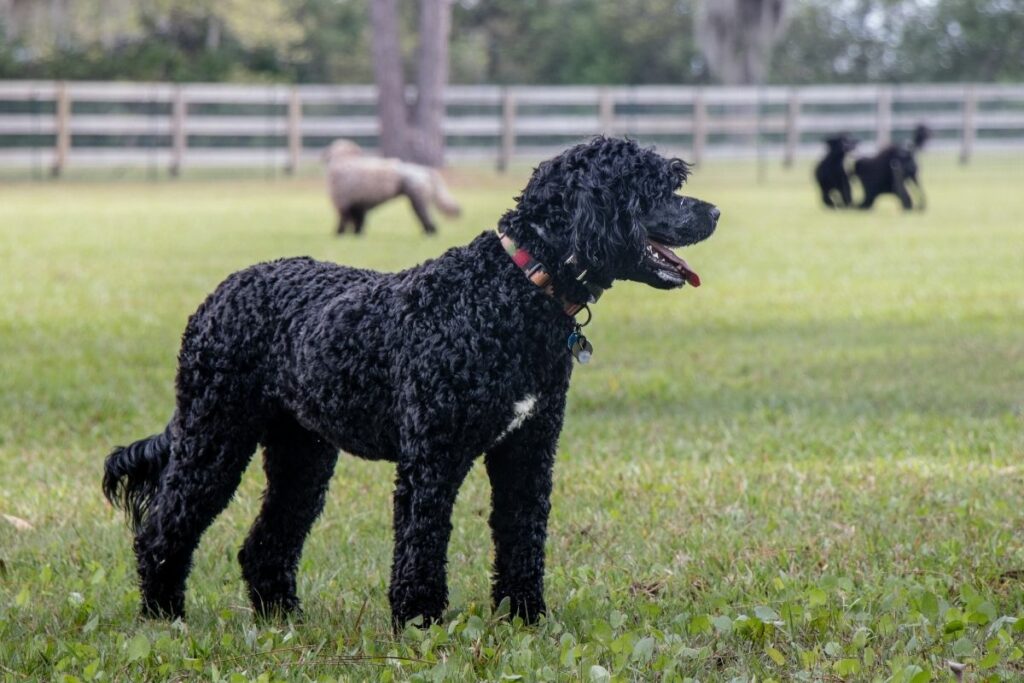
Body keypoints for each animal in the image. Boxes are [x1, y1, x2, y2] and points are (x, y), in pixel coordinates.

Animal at [323, 139, 460, 235]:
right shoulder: (358, 206)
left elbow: (343, 223)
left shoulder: (343, 204)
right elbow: (358, 225)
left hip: (419, 201)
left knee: (428, 221)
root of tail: (425, 170)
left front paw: (339, 235)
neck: (343, 159)